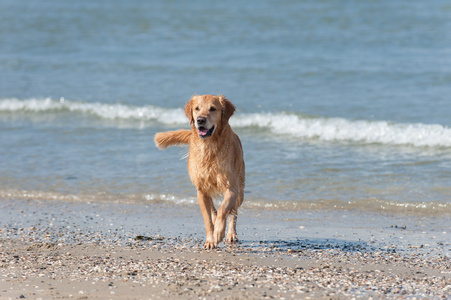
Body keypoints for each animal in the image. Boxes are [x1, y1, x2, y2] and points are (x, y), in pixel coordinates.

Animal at [156, 95, 247, 248]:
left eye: (213, 109)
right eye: (197, 108)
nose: (200, 120)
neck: (208, 146)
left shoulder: (231, 187)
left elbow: (224, 209)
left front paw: (219, 232)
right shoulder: (201, 191)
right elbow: (208, 219)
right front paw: (210, 240)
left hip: (240, 190)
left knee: (233, 213)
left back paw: (231, 234)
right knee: (214, 210)